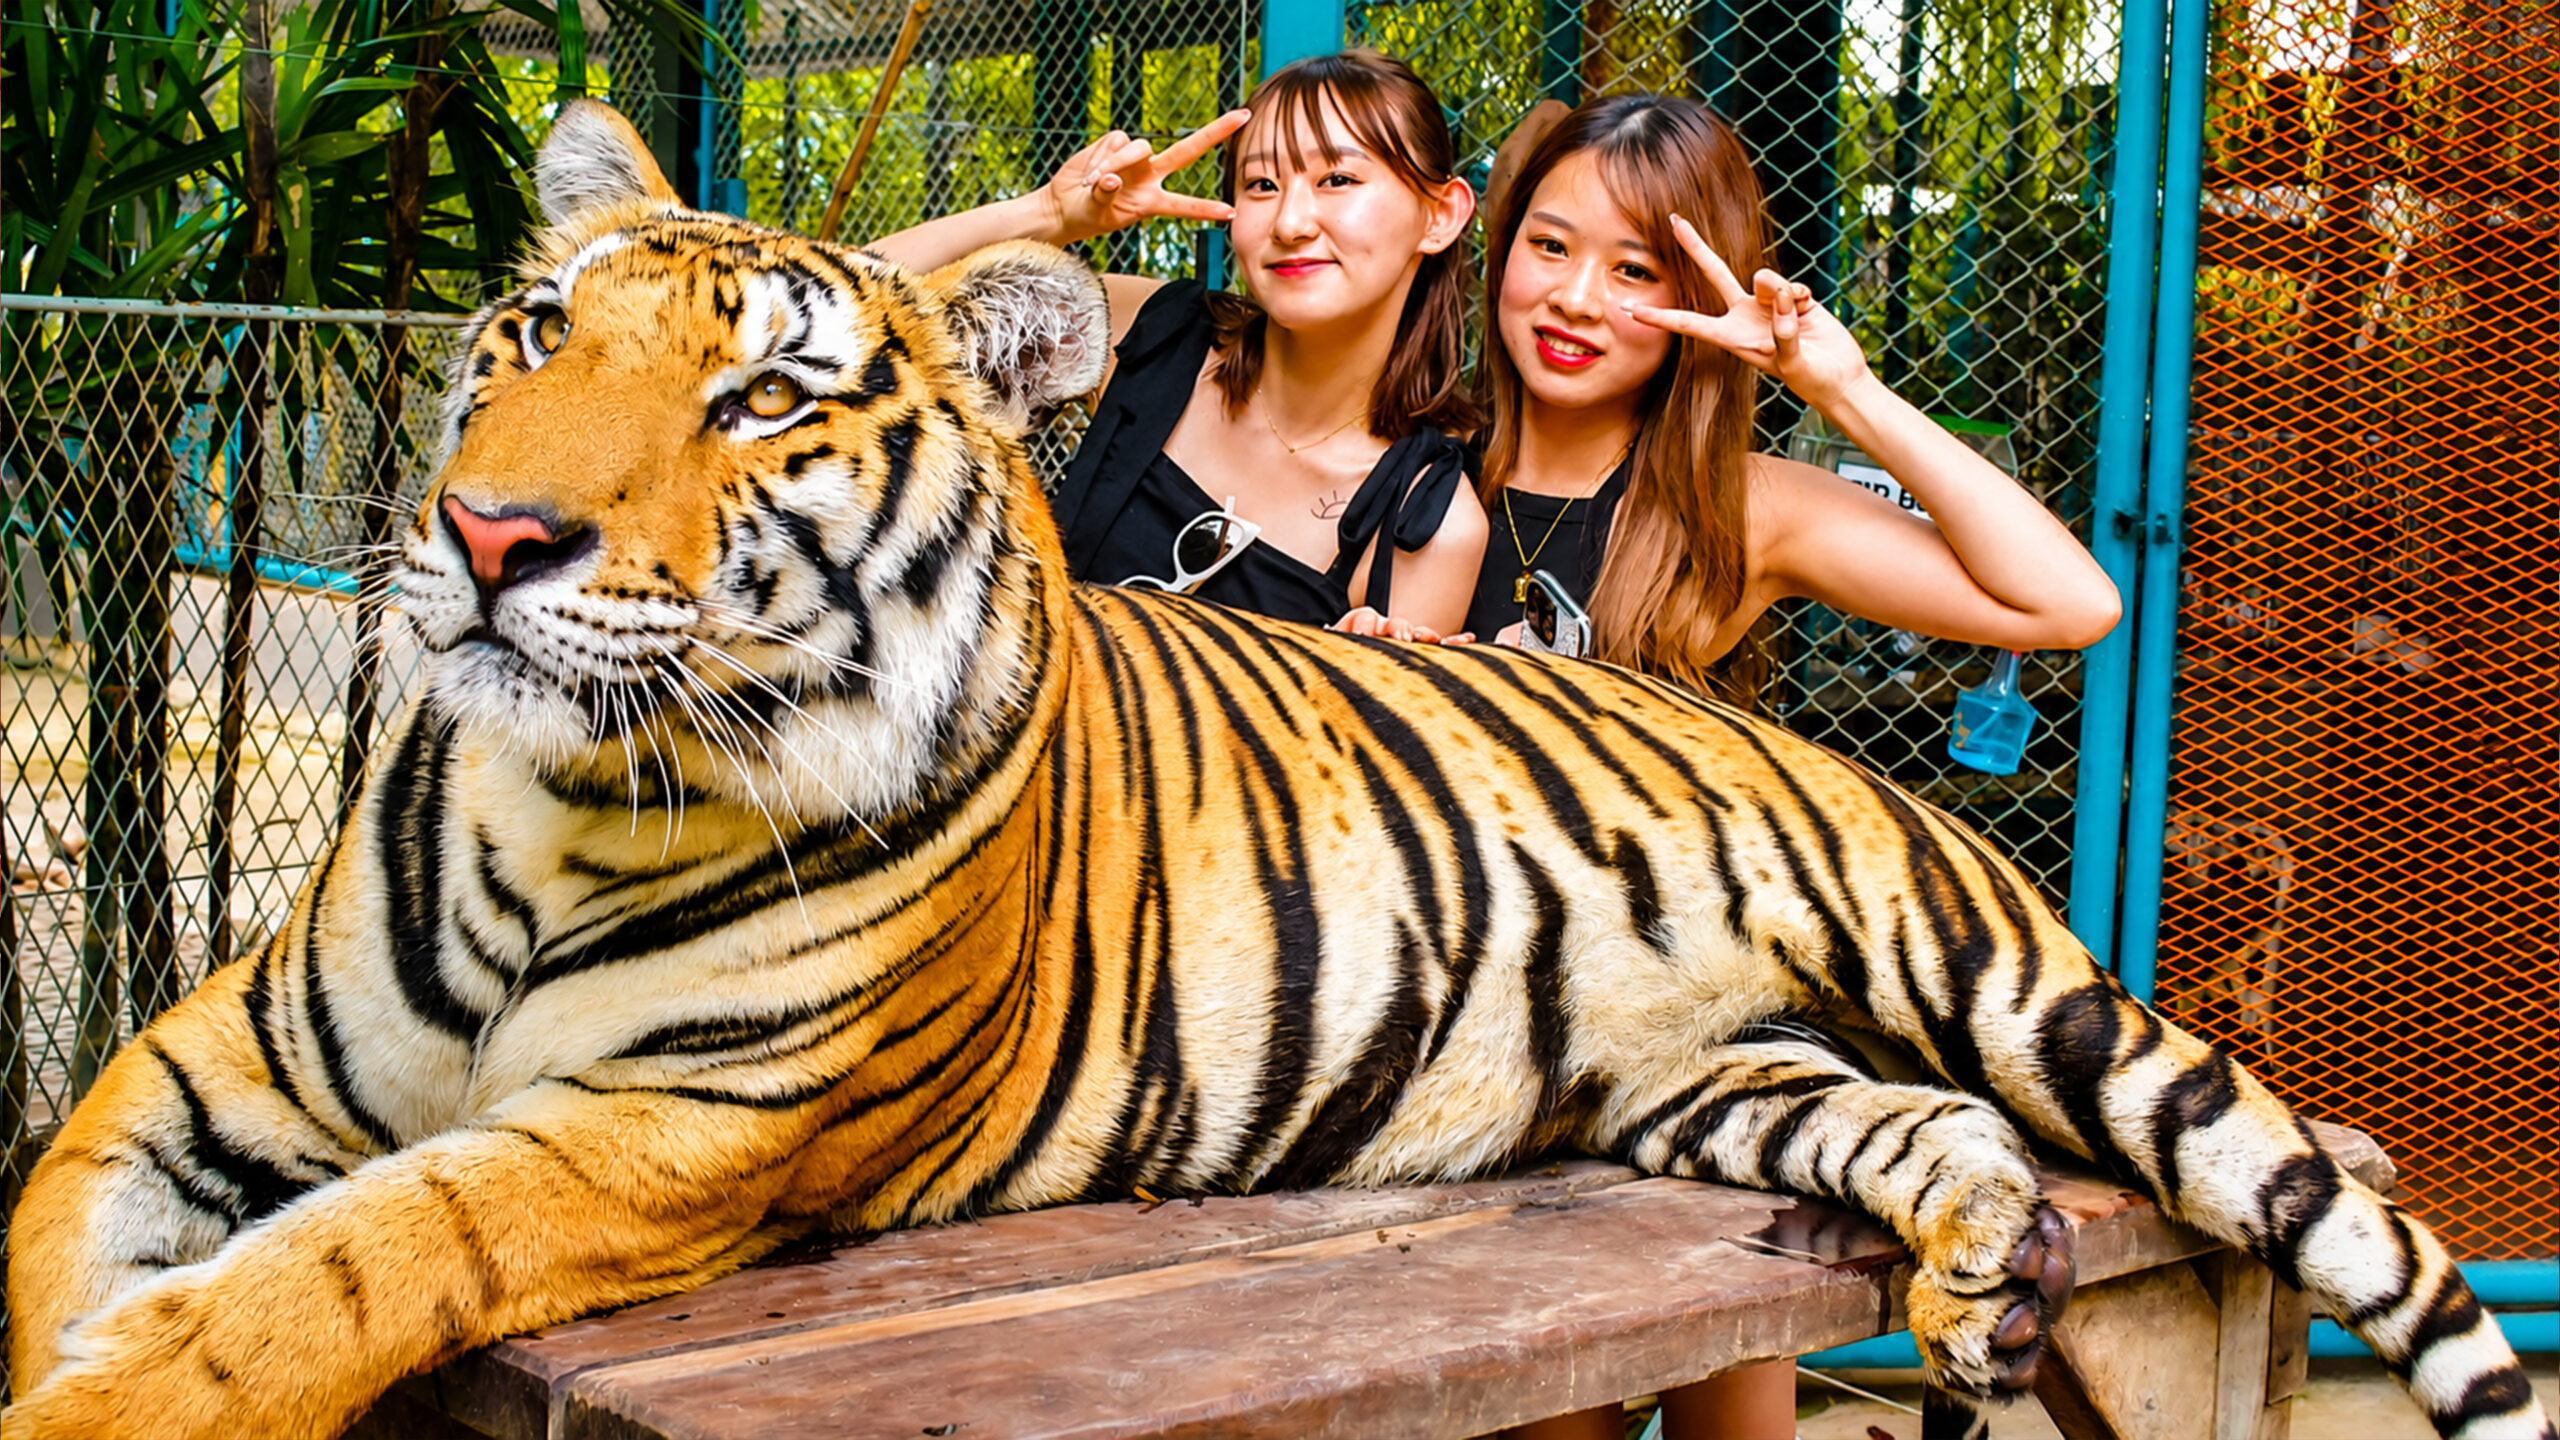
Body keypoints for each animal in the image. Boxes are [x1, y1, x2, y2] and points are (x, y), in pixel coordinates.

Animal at [5, 99, 2549, 1440]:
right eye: (532, 330)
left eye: (764, 401)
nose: (481, 534)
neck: (559, 808)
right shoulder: (224, 1049)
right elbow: (57, 1218)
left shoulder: (669, 1131)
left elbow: (358, 1261)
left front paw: (138, 1379)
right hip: (1720, 1089)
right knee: (1930, 1134)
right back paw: (1967, 1278)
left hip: (2017, 988)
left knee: (2224, 1161)